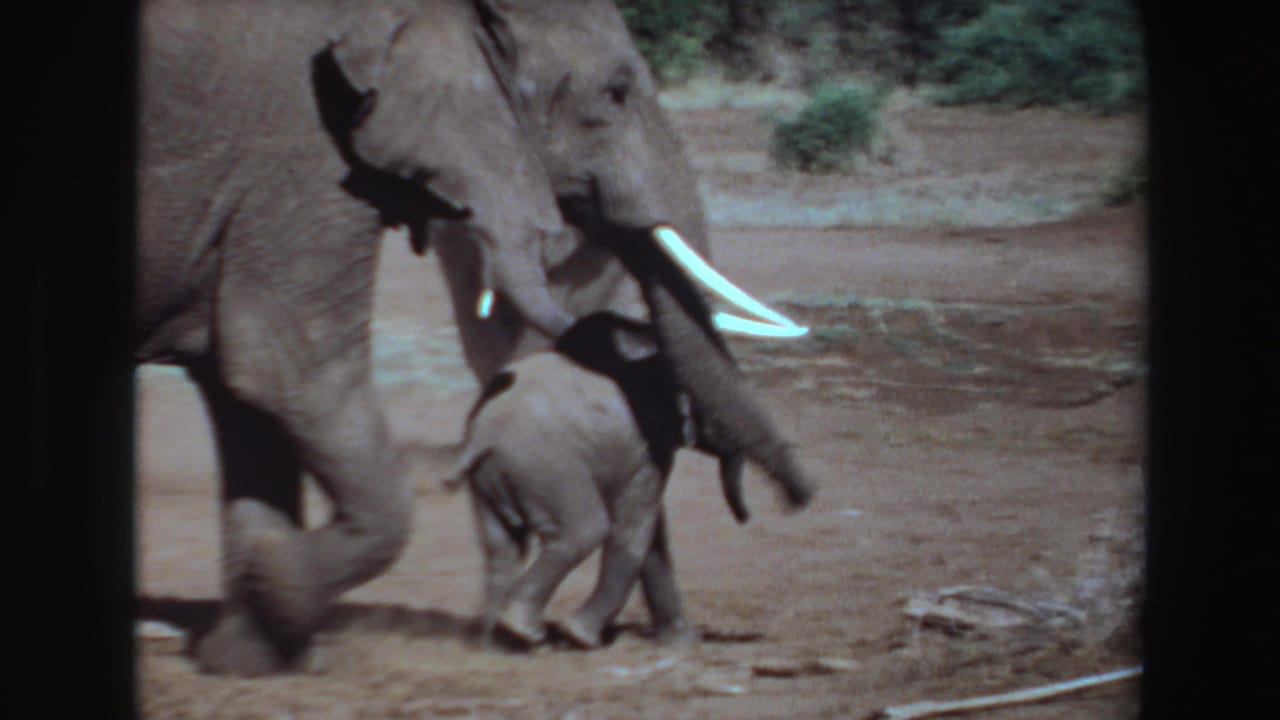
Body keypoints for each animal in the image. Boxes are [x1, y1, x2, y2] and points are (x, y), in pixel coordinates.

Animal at [445, 312, 789, 649]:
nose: (746, 517)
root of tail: (484, 434)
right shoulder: (647, 445)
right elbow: (634, 529)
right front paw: (580, 636)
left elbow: (651, 535)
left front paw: (681, 644)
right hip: (546, 467)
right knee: (583, 530)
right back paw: (525, 631)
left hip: (492, 475)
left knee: (500, 546)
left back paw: (491, 643)